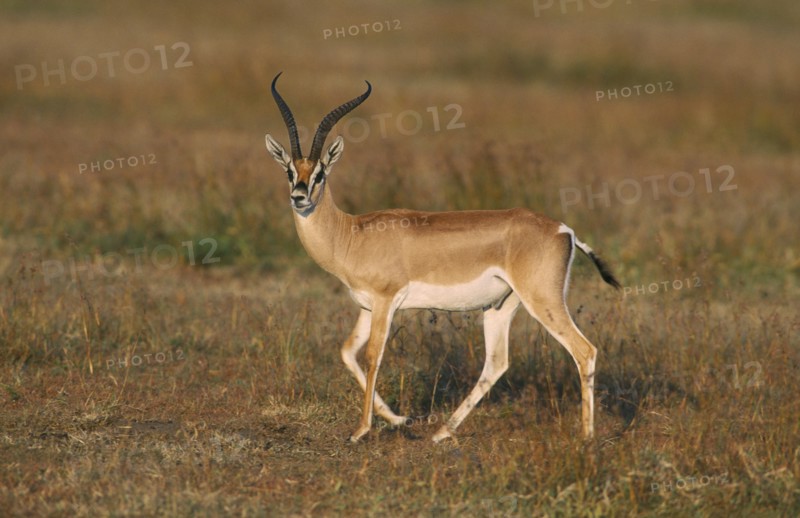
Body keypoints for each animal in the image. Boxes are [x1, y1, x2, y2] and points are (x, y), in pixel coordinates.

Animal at [264, 73, 620, 443]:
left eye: (320, 173)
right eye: (290, 171)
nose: (299, 197)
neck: (352, 233)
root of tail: (564, 230)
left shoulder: (385, 301)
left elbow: (374, 356)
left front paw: (361, 430)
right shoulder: (367, 305)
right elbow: (348, 351)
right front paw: (399, 419)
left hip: (544, 301)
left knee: (584, 351)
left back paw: (586, 437)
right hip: (501, 306)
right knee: (497, 362)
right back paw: (441, 432)